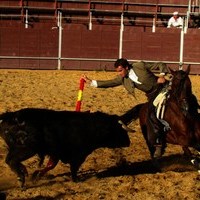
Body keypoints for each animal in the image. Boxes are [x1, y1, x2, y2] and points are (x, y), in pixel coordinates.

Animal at [0, 108, 130, 188]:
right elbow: (73, 168)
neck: (91, 126)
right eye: (119, 130)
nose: (128, 142)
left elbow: (50, 166)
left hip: (18, 149)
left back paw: (22, 173)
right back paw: (21, 177)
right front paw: (76, 180)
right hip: (26, 149)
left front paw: (36, 175)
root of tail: (11, 116)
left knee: (9, 160)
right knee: (12, 161)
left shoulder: (56, 153)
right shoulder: (78, 155)